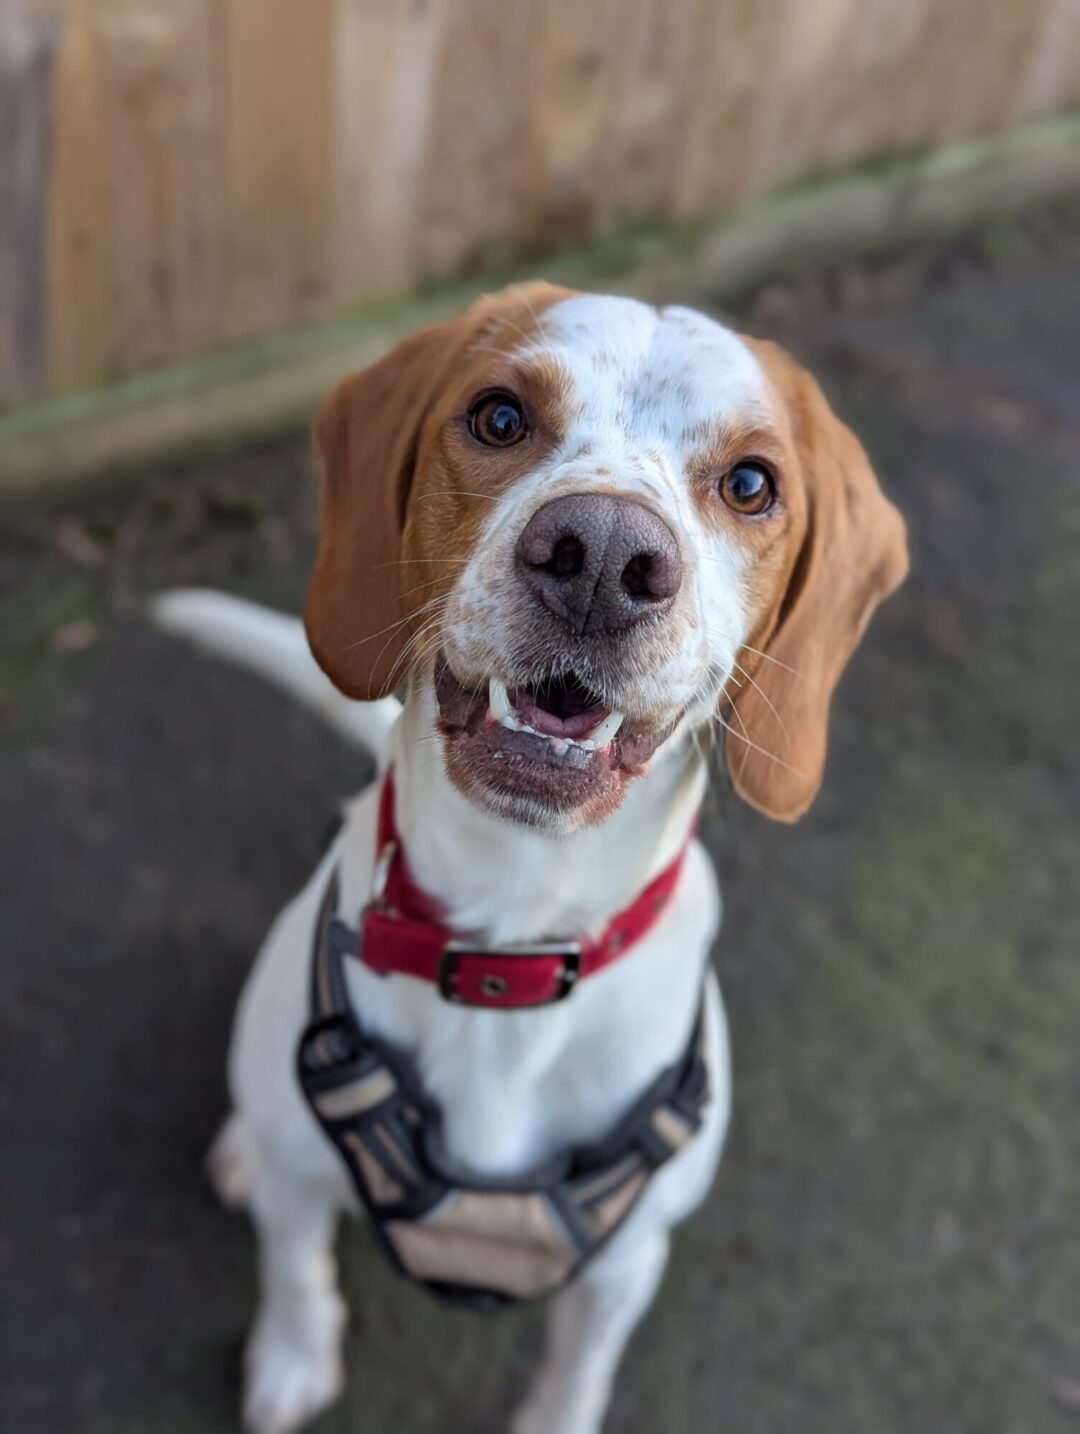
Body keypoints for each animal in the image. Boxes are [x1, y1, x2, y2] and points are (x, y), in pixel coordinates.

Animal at [155, 282, 906, 1434]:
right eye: (500, 417)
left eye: (750, 483)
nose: (601, 555)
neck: (511, 939)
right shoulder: (300, 1192)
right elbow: (295, 1268)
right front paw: (292, 1357)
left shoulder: (626, 1262)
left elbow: (576, 1372)